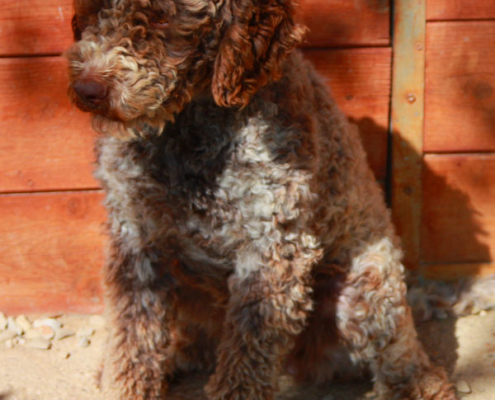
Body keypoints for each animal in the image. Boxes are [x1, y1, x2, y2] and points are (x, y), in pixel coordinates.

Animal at [66, 0, 458, 400]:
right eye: (91, 11)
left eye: (162, 17)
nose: (87, 89)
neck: (188, 128)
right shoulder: (136, 239)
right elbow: (132, 335)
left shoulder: (273, 246)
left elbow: (248, 353)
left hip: (369, 282)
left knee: (402, 356)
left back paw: (417, 383)